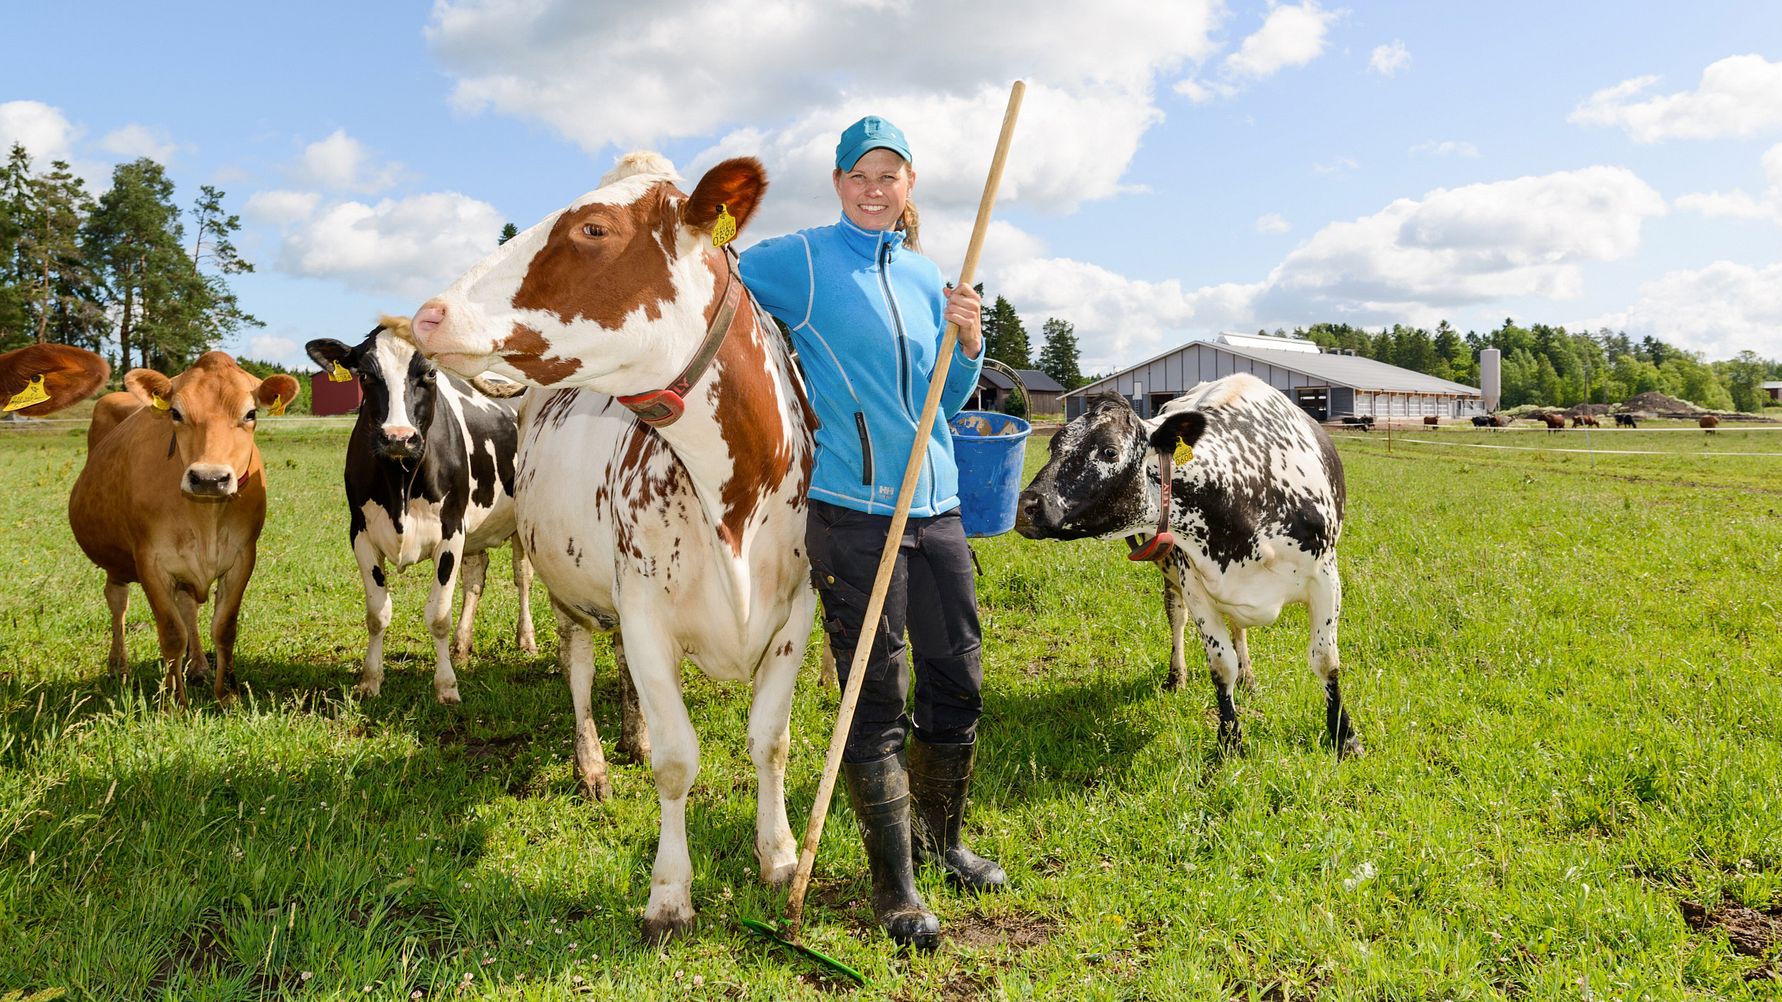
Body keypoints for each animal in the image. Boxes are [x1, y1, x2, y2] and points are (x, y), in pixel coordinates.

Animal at [66, 351, 299, 702]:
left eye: (250, 413)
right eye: (176, 412)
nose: (209, 478)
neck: (206, 519)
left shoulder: (242, 557)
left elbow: (224, 627)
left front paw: (226, 694)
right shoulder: (150, 562)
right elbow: (172, 633)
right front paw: (175, 701)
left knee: (188, 607)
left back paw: (199, 665)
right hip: (117, 562)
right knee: (117, 601)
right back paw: (119, 665)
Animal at [306, 317, 534, 702]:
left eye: (429, 372)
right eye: (365, 374)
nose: (398, 437)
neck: (401, 480)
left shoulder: (451, 532)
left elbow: (438, 615)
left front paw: (446, 686)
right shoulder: (360, 533)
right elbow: (377, 613)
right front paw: (370, 680)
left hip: (519, 523)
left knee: (522, 576)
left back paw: (526, 638)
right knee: (476, 576)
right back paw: (462, 644)